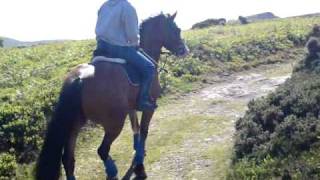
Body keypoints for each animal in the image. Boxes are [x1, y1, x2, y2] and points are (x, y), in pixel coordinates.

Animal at [36, 12, 189, 180]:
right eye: (176, 30)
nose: (184, 50)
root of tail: (79, 78)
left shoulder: (131, 108)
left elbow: (135, 128)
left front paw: (137, 152)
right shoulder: (149, 107)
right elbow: (143, 131)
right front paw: (139, 163)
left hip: (75, 125)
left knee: (68, 159)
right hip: (114, 123)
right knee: (102, 150)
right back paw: (113, 171)